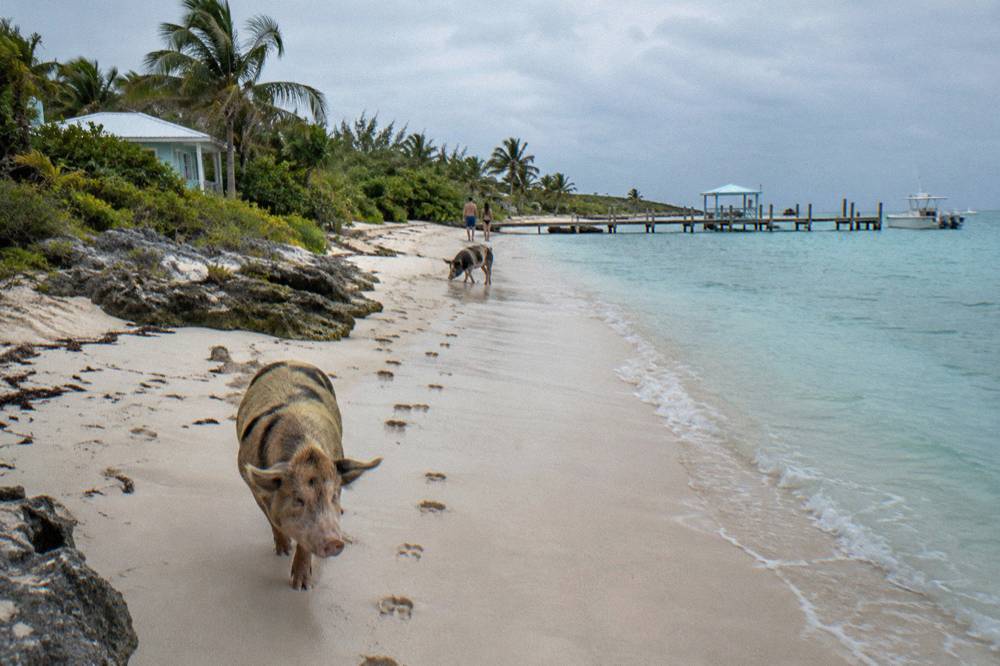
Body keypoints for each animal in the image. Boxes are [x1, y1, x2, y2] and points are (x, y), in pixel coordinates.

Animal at [236, 360, 381, 589]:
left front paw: (302, 586)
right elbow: (272, 519)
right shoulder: (254, 486)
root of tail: (292, 360)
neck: (305, 449)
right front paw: (284, 551)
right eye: (299, 500)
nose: (334, 542)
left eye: (334, 495)